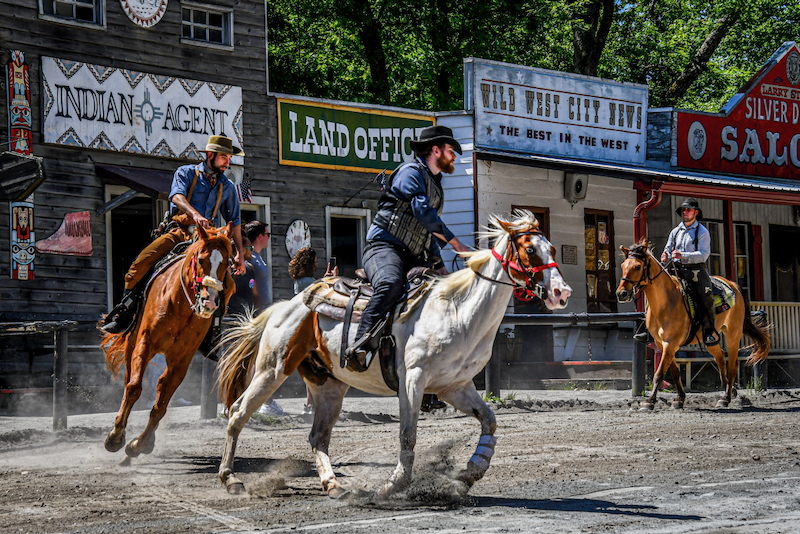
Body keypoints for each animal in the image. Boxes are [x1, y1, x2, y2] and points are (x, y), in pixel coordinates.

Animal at [98, 224, 233, 458]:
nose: (209, 302)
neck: (179, 305)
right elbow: (134, 388)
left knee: (160, 390)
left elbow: (161, 405)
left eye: (225, 264)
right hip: (132, 344)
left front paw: (139, 444)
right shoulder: (145, 343)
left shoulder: (181, 361)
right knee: (129, 381)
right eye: (200, 260)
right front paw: (115, 437)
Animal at [216, 211, 572, 500]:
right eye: (530, 249)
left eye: (552, 249)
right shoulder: (413, 380)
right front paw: (394, 485)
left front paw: (473, 470)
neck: (458, 310)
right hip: (272, 370)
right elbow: (408, 435)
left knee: (318, 436)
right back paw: (231, 479)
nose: (561, 292)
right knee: (237, 413)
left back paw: (334, 486)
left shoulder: (455, 387)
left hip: (328, 385)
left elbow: (490, 420)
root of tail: (285, 306)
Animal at [616, 241, 772, 412]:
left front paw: (649, 402)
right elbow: (675, 372)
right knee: (720, 358)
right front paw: (679, 399)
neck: (666, 302)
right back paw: (729, 390)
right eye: (623, 265)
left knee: (732, 364)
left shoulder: (670, 343)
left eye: (637, 266)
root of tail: (734, 285)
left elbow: (659, 373)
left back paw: (725, 398)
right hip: (711, 339)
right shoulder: (662, 344)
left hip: (733, 333)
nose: (621, 293)